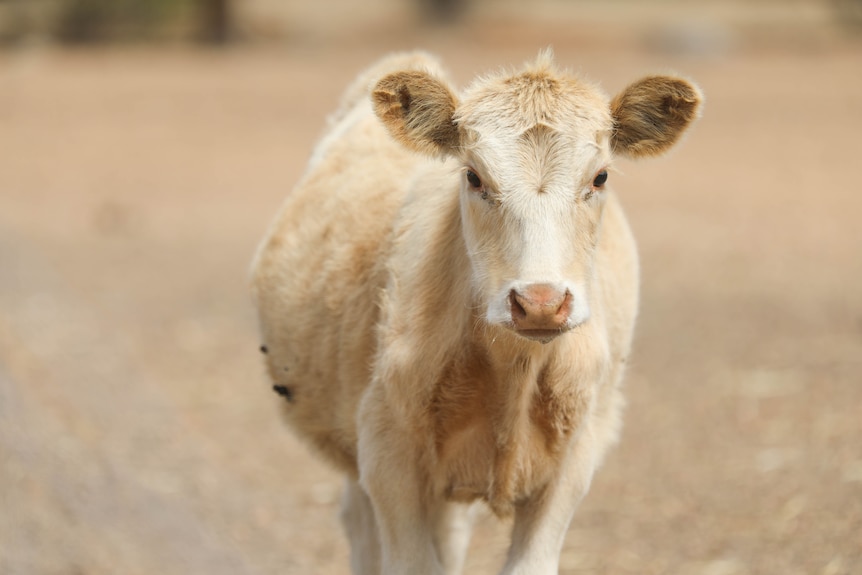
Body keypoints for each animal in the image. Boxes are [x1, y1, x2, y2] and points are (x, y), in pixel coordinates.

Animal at [250, 50, 704, 575]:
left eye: (601, 176)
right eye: (473, 176)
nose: (541, 302)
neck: (511, 370)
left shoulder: (575, 456)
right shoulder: (386, 449)